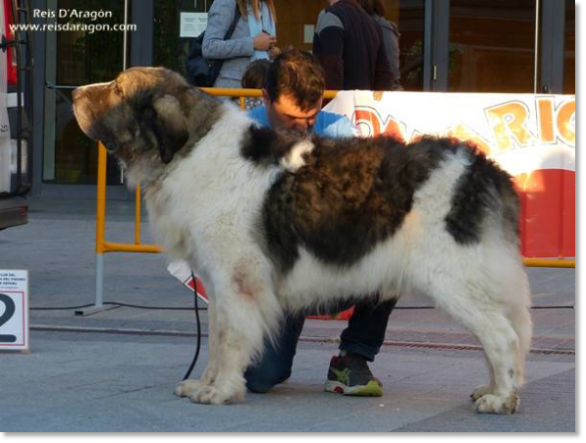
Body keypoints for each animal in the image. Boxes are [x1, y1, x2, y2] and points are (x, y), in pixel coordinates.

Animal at [73, 67, 528, 414]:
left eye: (118, 90)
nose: (74, 91)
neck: (190, 150)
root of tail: (483, 168)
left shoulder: (236, 281)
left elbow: (230, 339)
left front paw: (220, 391)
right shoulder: (218, 284)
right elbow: (217, 339)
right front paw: (204, 383)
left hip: (452, 279)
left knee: (502, 336)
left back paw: (501, 398)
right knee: (504, 332)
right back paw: (491, 388)